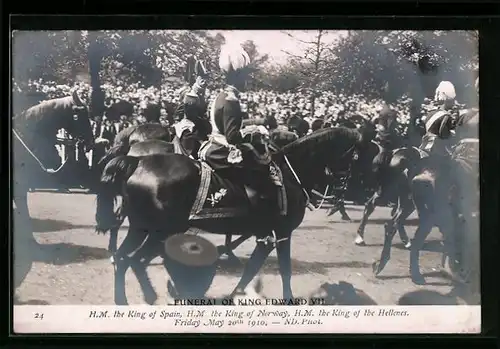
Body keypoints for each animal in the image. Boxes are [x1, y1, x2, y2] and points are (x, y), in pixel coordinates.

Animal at [94, 126, 376, 304]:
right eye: (360, 154)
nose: (368, 187)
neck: (290, 173)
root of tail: (137, 161)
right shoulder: (282, 233)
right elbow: (283, 270)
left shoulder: (266, 236)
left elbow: (251, 269)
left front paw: (234, 294)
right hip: (158, 231)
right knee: (133, 260)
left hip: (142, 229)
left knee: (124, 258)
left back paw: (122, 299)